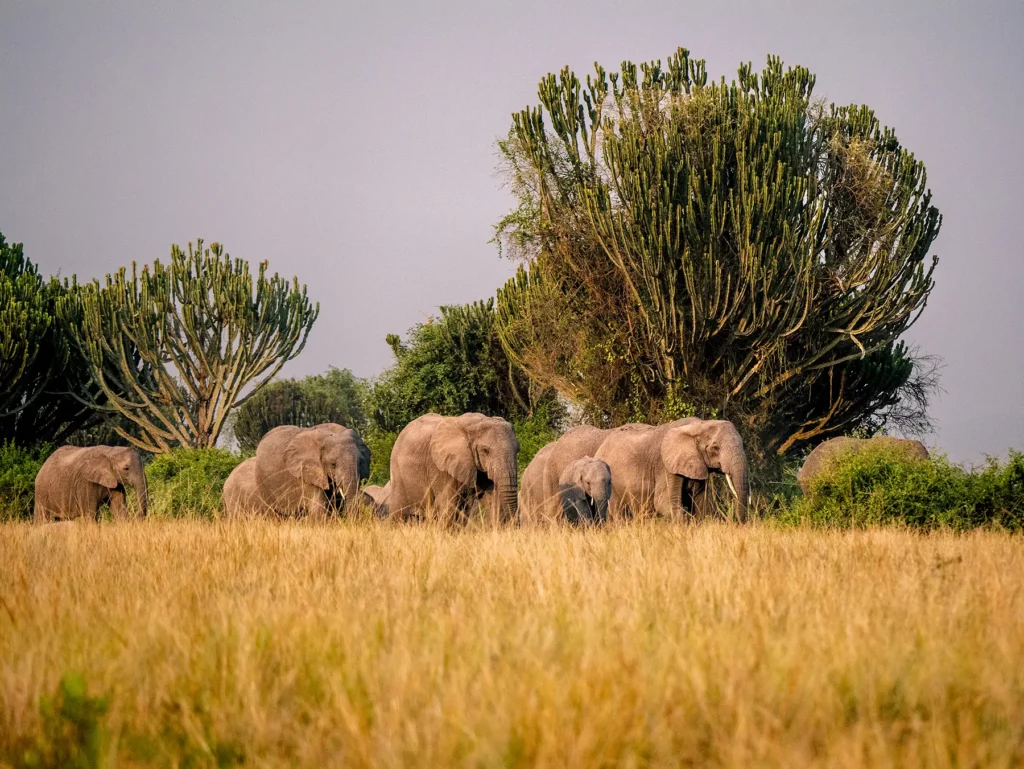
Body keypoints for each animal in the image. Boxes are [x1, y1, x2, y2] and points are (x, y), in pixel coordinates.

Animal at [388, 413, 519, 524]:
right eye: (485, 450)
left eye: (517, 450)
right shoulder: (441, 468)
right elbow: (448, 505)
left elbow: (493, 501)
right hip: (398, 472)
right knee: (398, 514)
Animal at [594, 418, 749, 522]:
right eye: (715, 448)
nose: (738, 523)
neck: (698, 425)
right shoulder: (666, 466)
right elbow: (664, 502)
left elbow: (701, 503)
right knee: (618, 513)